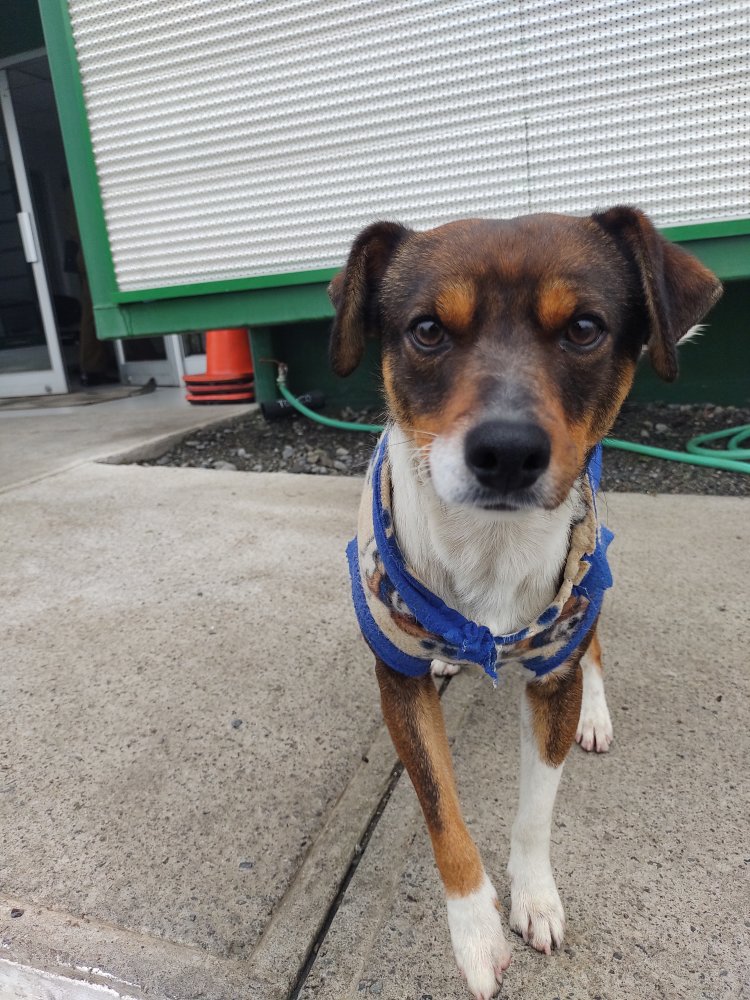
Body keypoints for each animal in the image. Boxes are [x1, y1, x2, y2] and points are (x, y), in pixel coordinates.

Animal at [328, 207, 724, 996]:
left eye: (584, 328)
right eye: (426, 329)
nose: (507, 451)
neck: (489, 547)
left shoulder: (557, 652)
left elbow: (538, 805)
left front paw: (534, 898)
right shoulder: (397, 676)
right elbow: (441, 810)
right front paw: (475, 931)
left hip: (594, 562)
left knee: (593, 640)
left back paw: (594, 713)